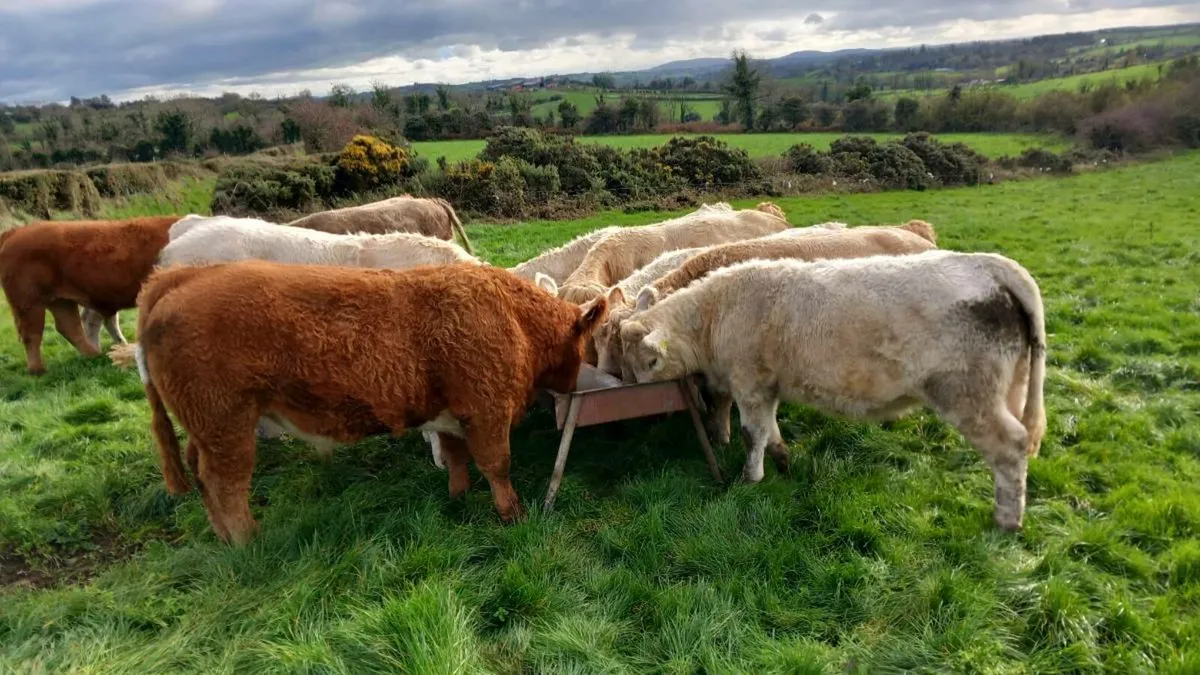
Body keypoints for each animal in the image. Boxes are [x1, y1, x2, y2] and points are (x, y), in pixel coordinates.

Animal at [0, 215, 181, 374]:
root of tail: (16, 231)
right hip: (29, 302)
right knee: (32, 333)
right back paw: (37, 370)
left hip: (60, 301)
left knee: (70, 327)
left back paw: (94, 355)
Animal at [135, 260, 607, 544]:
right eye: (586, 345)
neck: (514, 318)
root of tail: (180, 277)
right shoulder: (487, 410)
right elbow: (498, 466)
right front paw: (513, 514)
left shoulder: (451, 415)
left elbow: (457, 459)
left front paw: (457, 499)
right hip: (227, 426)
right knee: (224, 483)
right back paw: (251, 540)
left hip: (205, 429)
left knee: (200, 474)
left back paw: (225, 537)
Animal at [619, 250, 1046, 531]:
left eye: (645, 363)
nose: (633, 399)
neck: (716, 312)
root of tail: (988, 264)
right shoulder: (768, 386)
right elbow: (770, 430)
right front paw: (783, 461)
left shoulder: (749, 382)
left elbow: (751, 433)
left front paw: (750, 478)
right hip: (1011, 388)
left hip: (968, 394)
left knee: (1010, 447)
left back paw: (1006, 520)